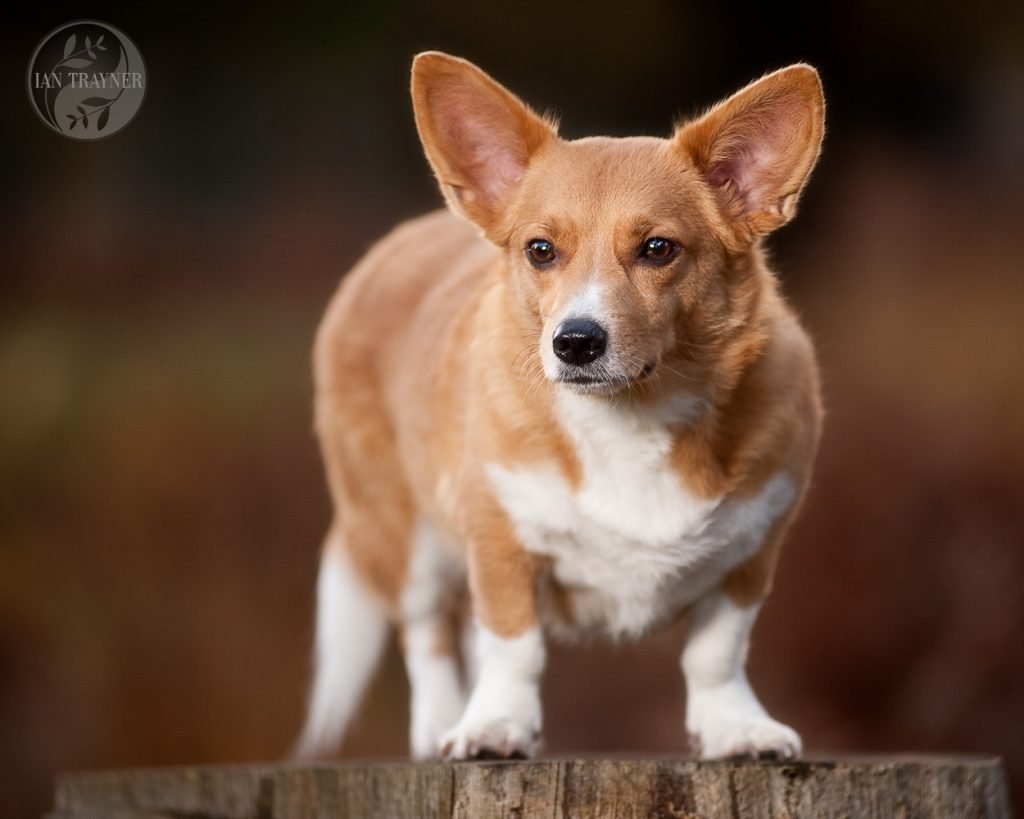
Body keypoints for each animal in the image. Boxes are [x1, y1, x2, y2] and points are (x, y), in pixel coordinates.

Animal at [296, 52, 823, 761]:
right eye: (540, 250)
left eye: (658, 248)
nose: (574, 342)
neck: (632, 416)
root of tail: (400, 239)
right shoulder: (499, 537)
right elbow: (513, 644)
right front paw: (495, 726)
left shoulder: (750, 551)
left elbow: (716, 654)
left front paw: (736, 729)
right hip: (403, 537)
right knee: (427, 631)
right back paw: (442, 724)